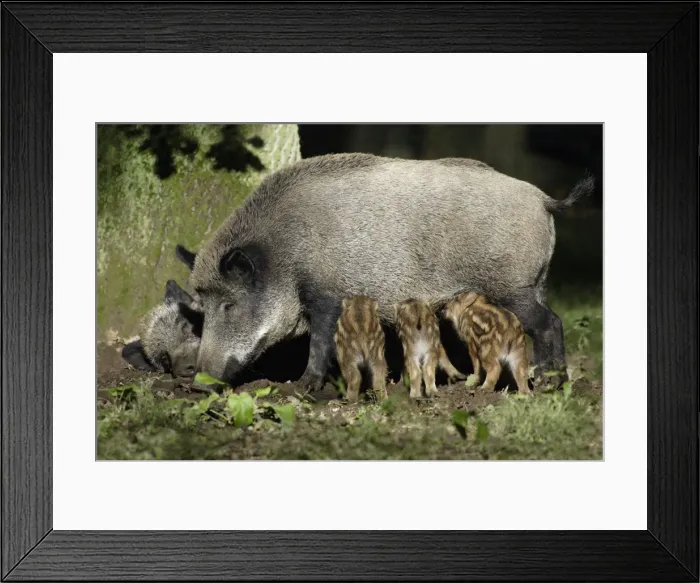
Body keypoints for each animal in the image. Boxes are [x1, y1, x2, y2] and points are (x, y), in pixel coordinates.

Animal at [189, 153, 593, 391]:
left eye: (228, 304)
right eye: (201, 306)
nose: (197, 382)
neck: (283, 255)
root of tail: (543, 199)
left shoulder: (327, 294)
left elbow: (320, 343)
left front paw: (303, 388)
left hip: (513, 286)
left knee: (549, 323)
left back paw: (551, 384)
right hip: (536, 282)